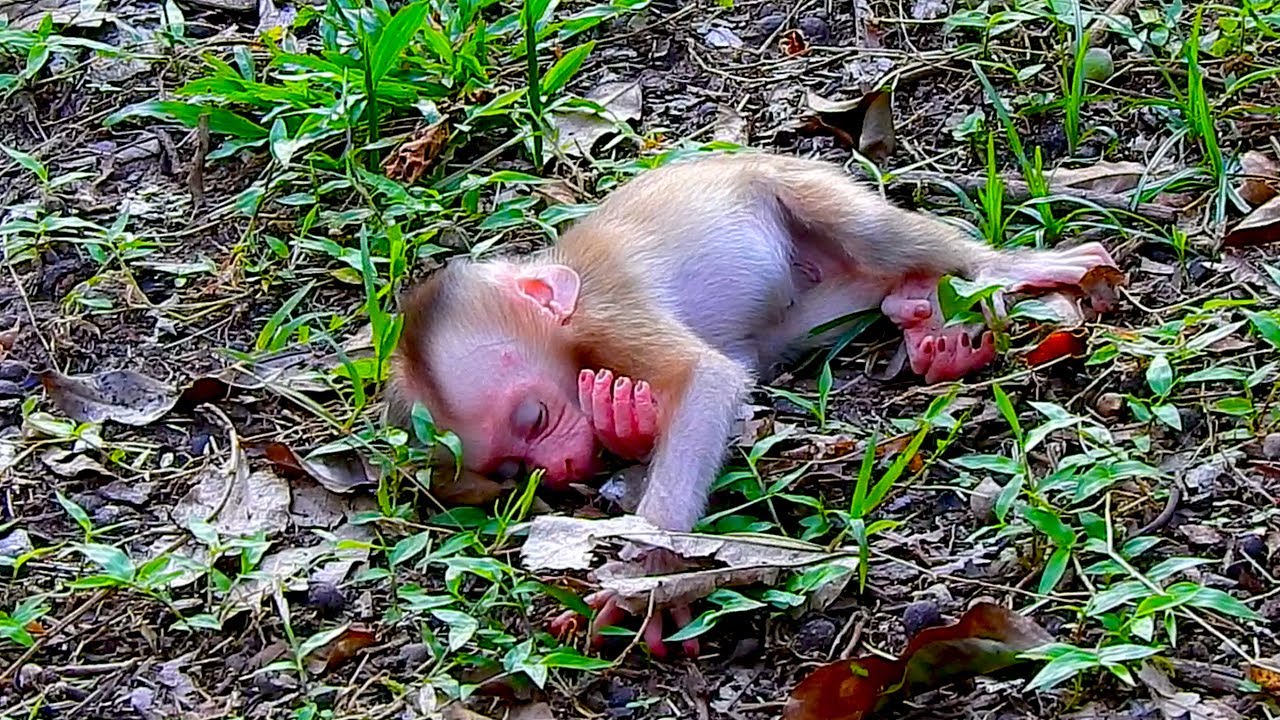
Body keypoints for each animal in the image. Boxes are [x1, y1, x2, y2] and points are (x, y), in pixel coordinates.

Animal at [388, 151, 1119, 656]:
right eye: (514, 469)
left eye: (533, 417)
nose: (564, 470)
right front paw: (624, 423)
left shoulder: (609, 316)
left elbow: (707, 377)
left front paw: (646, 573)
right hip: (821, 295)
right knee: (822, 313)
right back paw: (921, 323)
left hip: (795, 184)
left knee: (872, 233)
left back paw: (991, 269)